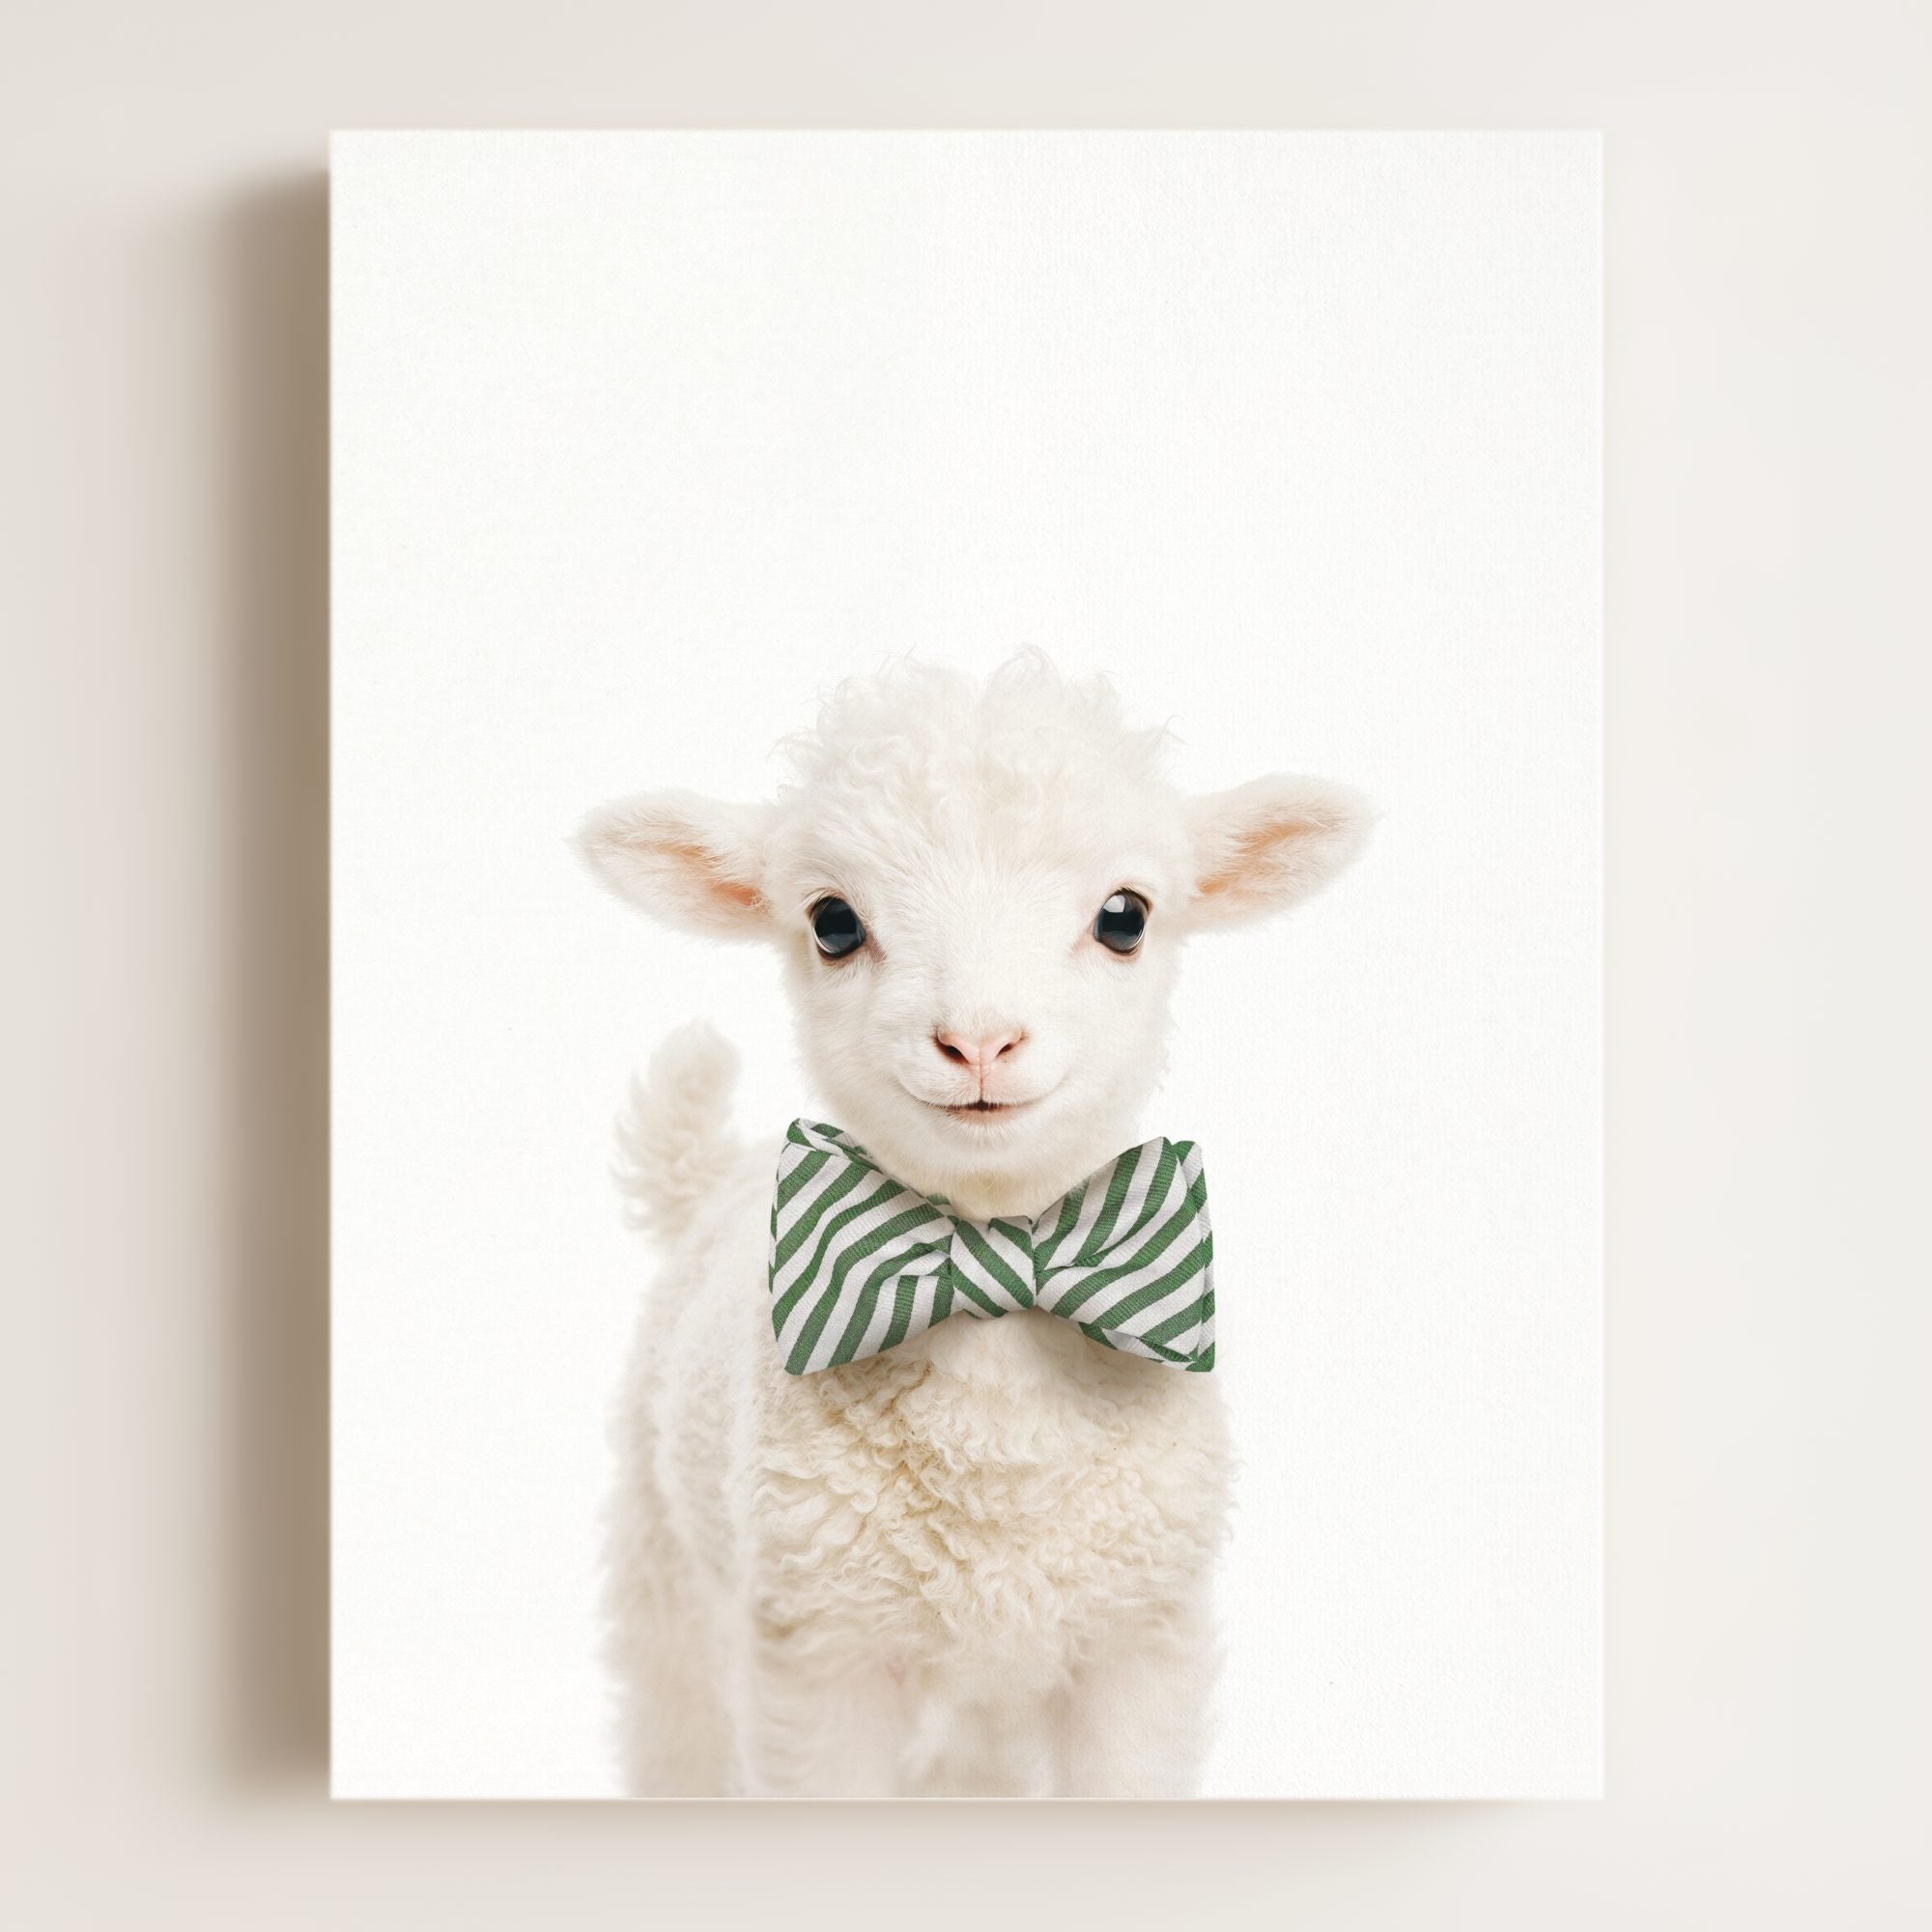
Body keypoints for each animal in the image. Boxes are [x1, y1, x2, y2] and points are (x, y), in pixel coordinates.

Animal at [576, 650, 1369, 1797]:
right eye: (832, 922)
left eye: (1125, 916)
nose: (980, 1039)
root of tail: (713, 1175)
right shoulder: (818, 1655)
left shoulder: (1140, 1642)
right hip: (669, 1576)